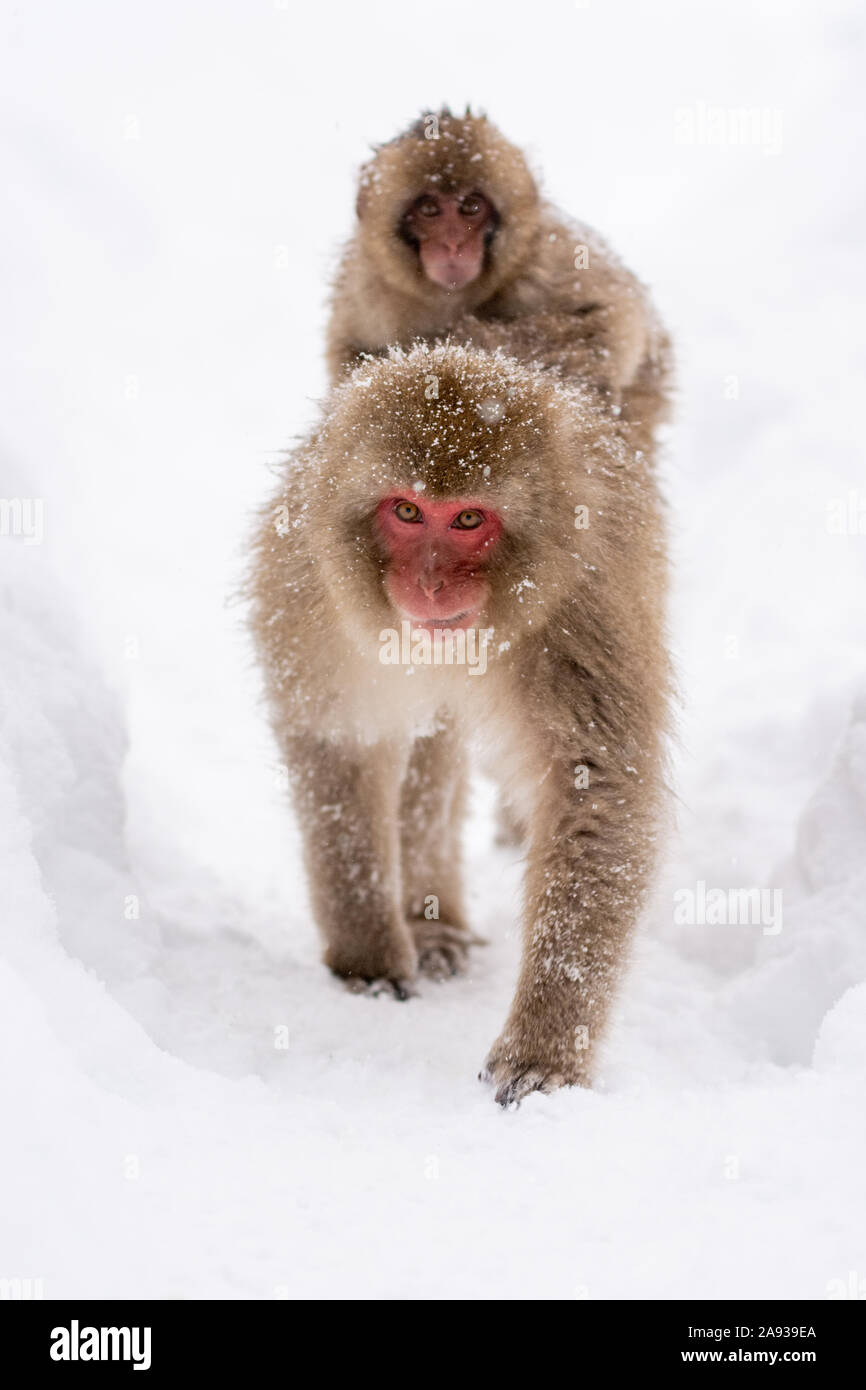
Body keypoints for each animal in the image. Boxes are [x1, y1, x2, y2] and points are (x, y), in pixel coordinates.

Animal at [250, 347, 670, 1106]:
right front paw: (368, 953)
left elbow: (595, 785)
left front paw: (545, 1049)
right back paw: (427, 925)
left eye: (470, 518)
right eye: (408, 511)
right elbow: (339, 739)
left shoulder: (584, 605)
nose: (430, 583)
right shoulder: (312, 586)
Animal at [328, 107, 675, 433]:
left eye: (471, 207)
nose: (452, 243)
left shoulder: (548, 255)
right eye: (429, 209)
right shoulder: (362, 289)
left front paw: (459, 339)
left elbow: (611, 318)